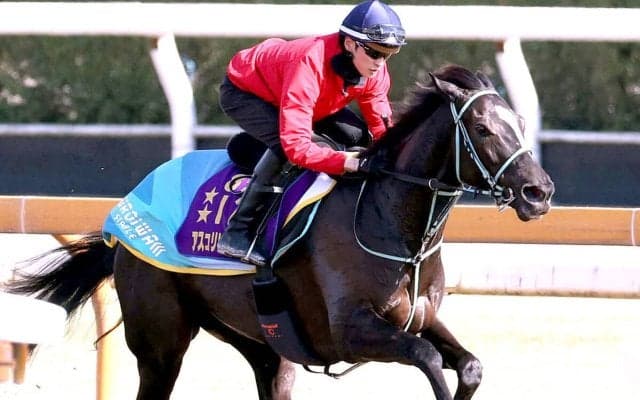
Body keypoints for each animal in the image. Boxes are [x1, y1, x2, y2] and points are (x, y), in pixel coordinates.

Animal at [7, 64, 554, 400]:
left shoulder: (419, 316)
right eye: (482, 128)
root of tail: (121, 216)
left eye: (519, 121)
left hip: (263, 343)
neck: (390, 220)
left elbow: (468, 364)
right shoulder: (350, 330)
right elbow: (427, 358)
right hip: (160, 340)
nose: (539, 191)